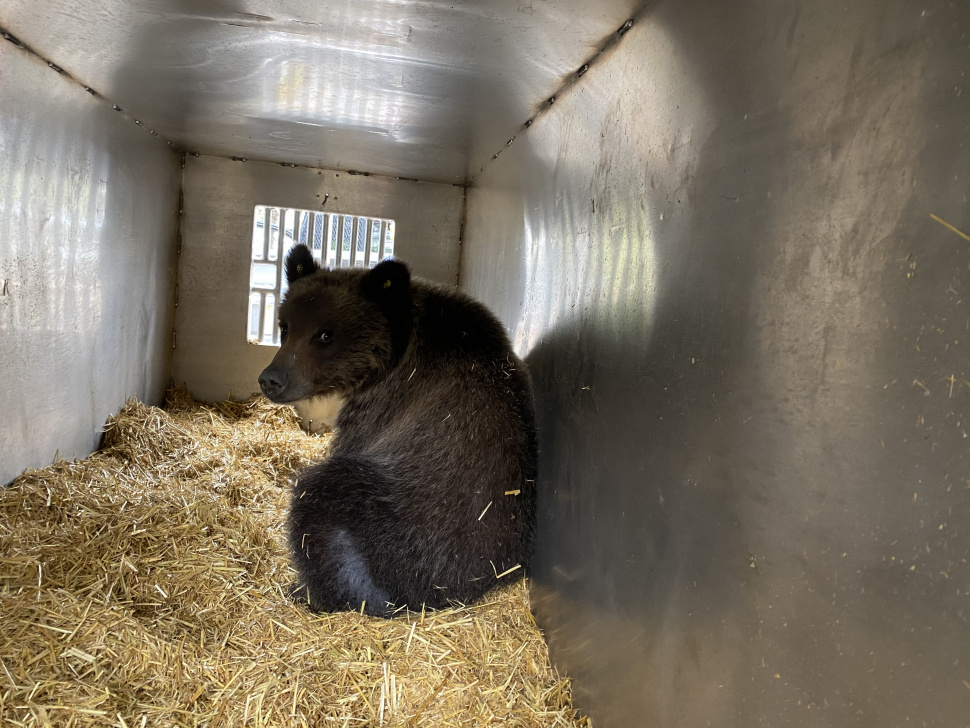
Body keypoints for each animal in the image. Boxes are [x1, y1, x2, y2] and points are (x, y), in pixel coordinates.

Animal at [258, 244, 538, 617]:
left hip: (405, 520)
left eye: (325, 334)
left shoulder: (382, 408)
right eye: (285, 326)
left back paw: (309, 590)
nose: (271, 379)